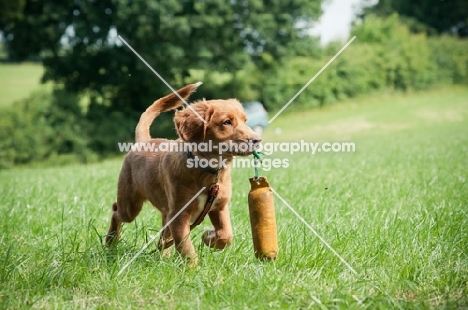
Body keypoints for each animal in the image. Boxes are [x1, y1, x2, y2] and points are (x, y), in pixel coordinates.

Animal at [103, 82, 262, 264]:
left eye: (245, 120)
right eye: (227, 122)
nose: (257, 140)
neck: (207, 171)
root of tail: (144, 141)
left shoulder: (219, 207)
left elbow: (226, 235)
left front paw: (209, 237)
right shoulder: (179, 215)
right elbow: (185, 247)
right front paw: (193, 268)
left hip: (165, 212)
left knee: (163, 238)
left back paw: (163, 258)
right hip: (131, 205)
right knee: (116, 210)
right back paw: (110, 241)